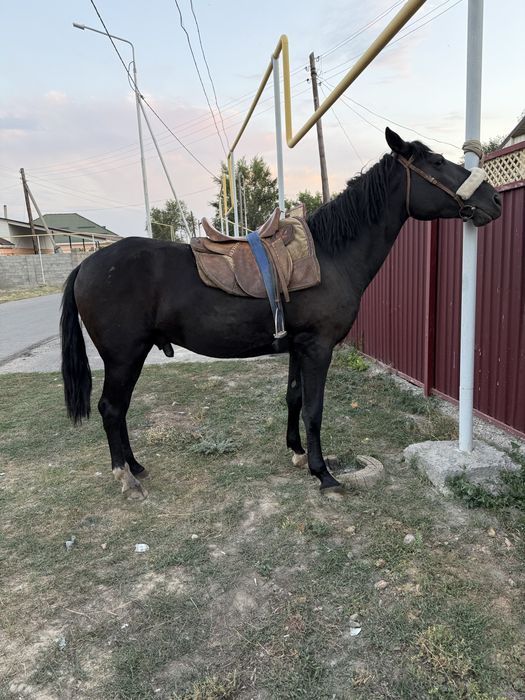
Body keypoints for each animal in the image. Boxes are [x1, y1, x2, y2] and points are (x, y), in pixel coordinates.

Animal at [60, 128, 501, 499]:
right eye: (438, 163)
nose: (494, 200)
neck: (331, 255)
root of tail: (86, 265)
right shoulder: (319, 348)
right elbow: (314, 409)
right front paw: (323, 473)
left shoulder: (297, 347)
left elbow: (293, 398)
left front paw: (298, 453)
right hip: (124, 357)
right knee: (111, 409)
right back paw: (126, 476)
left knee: (119, 411)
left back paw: (135, 466)